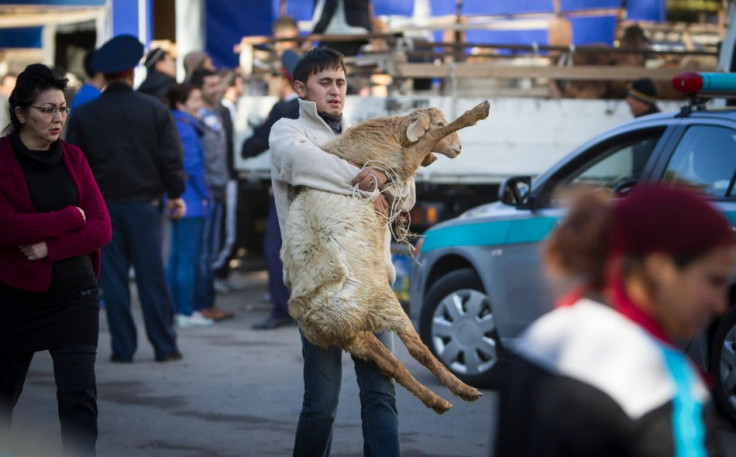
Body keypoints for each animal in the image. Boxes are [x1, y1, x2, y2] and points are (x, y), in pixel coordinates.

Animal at [284, 100, 492, 414]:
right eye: (439, 122)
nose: (458, 149)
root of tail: (315, 319)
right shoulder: (399, 162)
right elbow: (427, 142)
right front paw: (478, 112)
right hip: (382, 302)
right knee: (418, 350)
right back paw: (463, 390)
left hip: (356, 336)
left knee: (393, 366)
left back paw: (438, 401)